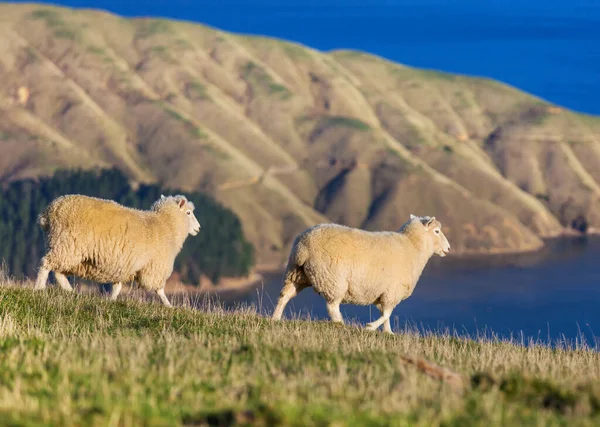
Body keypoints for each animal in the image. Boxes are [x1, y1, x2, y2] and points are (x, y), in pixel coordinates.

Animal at [33, 194, 202, 308]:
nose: (198, 228)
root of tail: (48, 213)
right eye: (188, 213)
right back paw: (38, 289)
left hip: (66, 249)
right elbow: (159, 289)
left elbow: (118, 286)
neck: (165, 224)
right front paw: (169, 306)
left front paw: (110, 301)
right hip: (66, 245)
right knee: (46, 264)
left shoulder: (125, 263)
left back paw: (70, 291)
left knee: (58, 272)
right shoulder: (155, 266)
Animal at [272, 216, 450, 332]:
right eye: (437, 231)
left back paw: (275, 318)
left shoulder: (384, 293)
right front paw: (370, 327)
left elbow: (386, 314)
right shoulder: (392, 291)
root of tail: (303, 246)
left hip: (296, 274)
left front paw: (388, 333)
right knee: (332, 306)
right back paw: (341, 324)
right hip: (332, 278)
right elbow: (387, 313)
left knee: (284, 296)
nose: (448, 249)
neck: (413, 247)